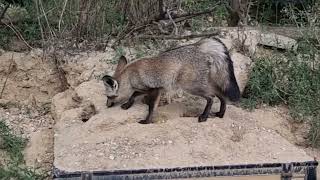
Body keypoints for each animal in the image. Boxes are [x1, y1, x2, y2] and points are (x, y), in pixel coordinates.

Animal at [102, 37, 240, 124]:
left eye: (109, 97)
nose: (107, 105)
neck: (131, 75)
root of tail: (198, 46)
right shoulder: (146, 88)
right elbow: (134, 94)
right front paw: (127, 104)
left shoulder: (155, 90)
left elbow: (151, 108)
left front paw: (147, 121)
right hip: (204, 84)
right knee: (221, 96)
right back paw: (220, 114)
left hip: (191, 87)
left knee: (211, 97)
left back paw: (204, 117)